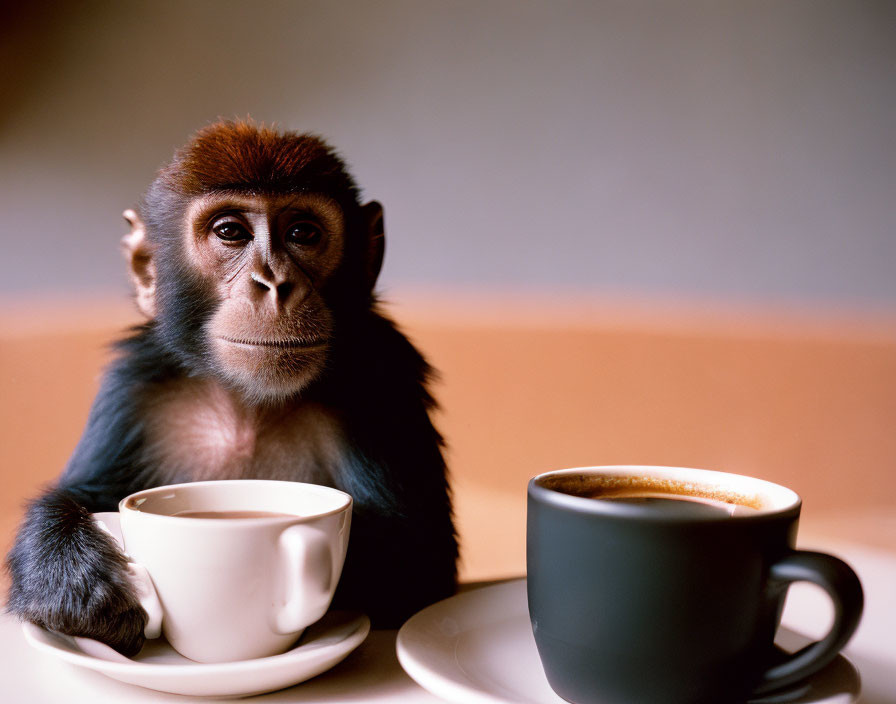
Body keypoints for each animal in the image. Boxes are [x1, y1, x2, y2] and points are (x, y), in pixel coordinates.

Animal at [5, 121, 456, 656]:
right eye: (230, 232)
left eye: (303, 233)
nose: (274, 283)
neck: (247, 407)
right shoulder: (132, 384)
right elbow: (86, 493)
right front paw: (68, 573)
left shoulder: (386, 376)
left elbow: (417, 562)